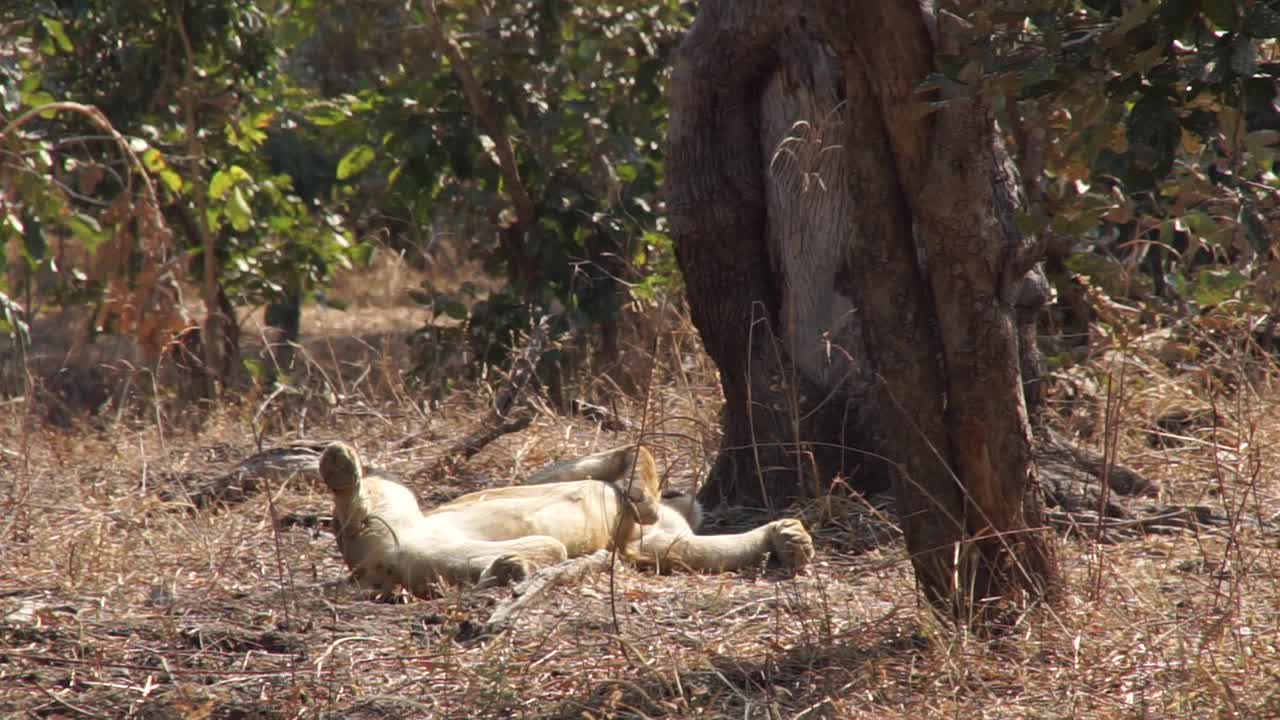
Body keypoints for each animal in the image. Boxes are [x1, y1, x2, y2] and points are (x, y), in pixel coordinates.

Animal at [320, 440, 819, 597]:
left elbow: (713, 550)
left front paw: (790, 537)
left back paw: (509, 569)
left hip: (424, 555)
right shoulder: (566, 470)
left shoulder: (658, 547)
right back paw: (338, 463)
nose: (683, 495)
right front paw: (643, 497)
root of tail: (368, 566)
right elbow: (640, 451)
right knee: (351, 496)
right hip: (397, 502)